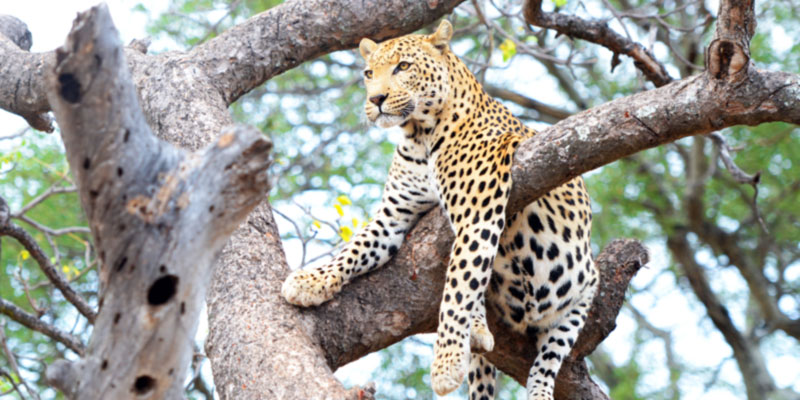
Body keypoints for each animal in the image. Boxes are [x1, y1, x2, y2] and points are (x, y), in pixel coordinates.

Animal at [282, 19, 598, 400]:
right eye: (369, 73)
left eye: (403, 67)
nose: (375, 100)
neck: (419, 136)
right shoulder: (394, 215)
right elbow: (355, 247)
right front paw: (311, 280)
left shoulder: (477, 217)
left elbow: (457, 291)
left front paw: (446, 366)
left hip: (581, 296)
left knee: (547, 360)